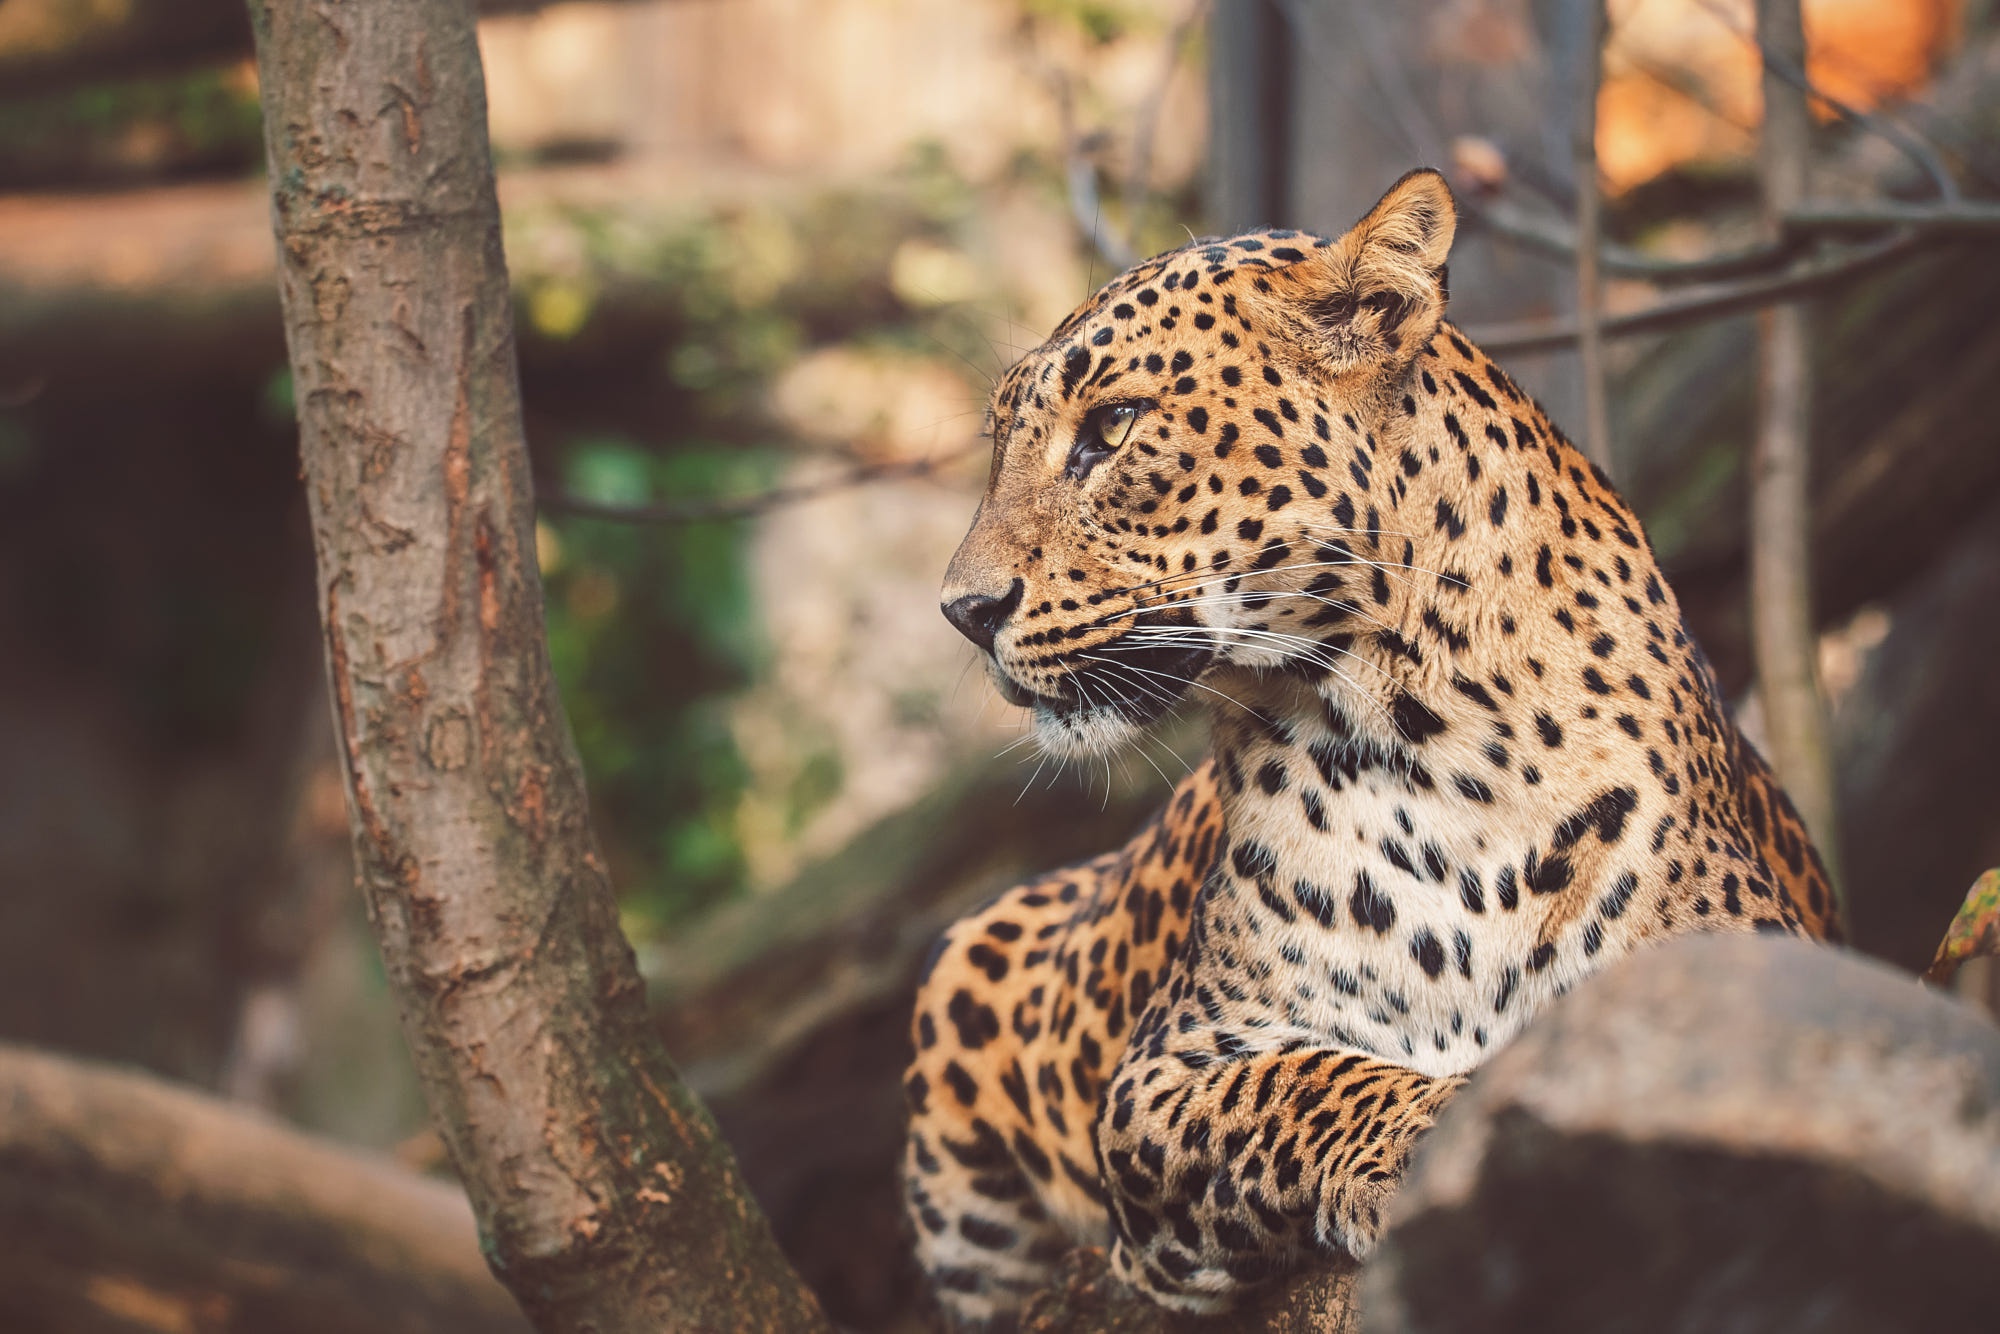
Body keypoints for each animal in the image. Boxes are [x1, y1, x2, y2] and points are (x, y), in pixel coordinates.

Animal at [908, 172, 1840, 1328]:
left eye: (1113, 426)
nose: (964, 611)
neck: (1429, 743)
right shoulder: (1160, 1075)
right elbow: (1300, 1079)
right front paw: (1430, 1136)